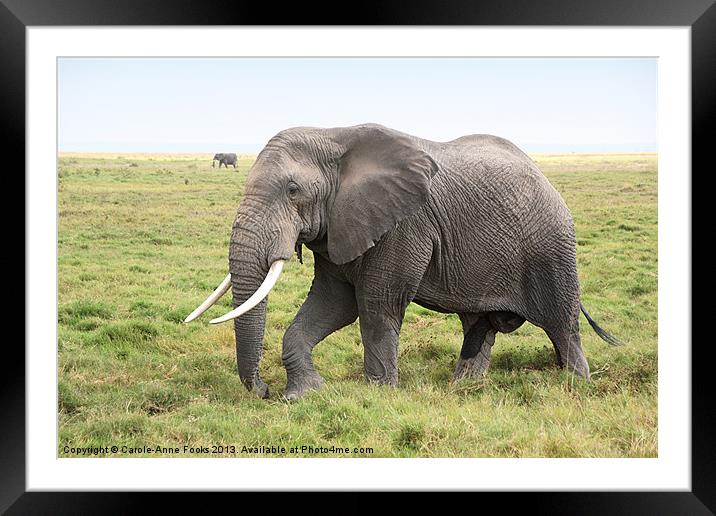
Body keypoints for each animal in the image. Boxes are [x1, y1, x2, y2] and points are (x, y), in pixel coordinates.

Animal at [185, 124, 620, 400]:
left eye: (293, 190)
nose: (263, 390)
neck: (333, 136)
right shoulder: (339, 225)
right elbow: (333, 304)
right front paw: (303, 395)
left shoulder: (403, 223)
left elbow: (376, 305)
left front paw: (377, 395)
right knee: (478, 324)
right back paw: (463, 389)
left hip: (552, 249)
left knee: (563, 325)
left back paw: (576, 387)